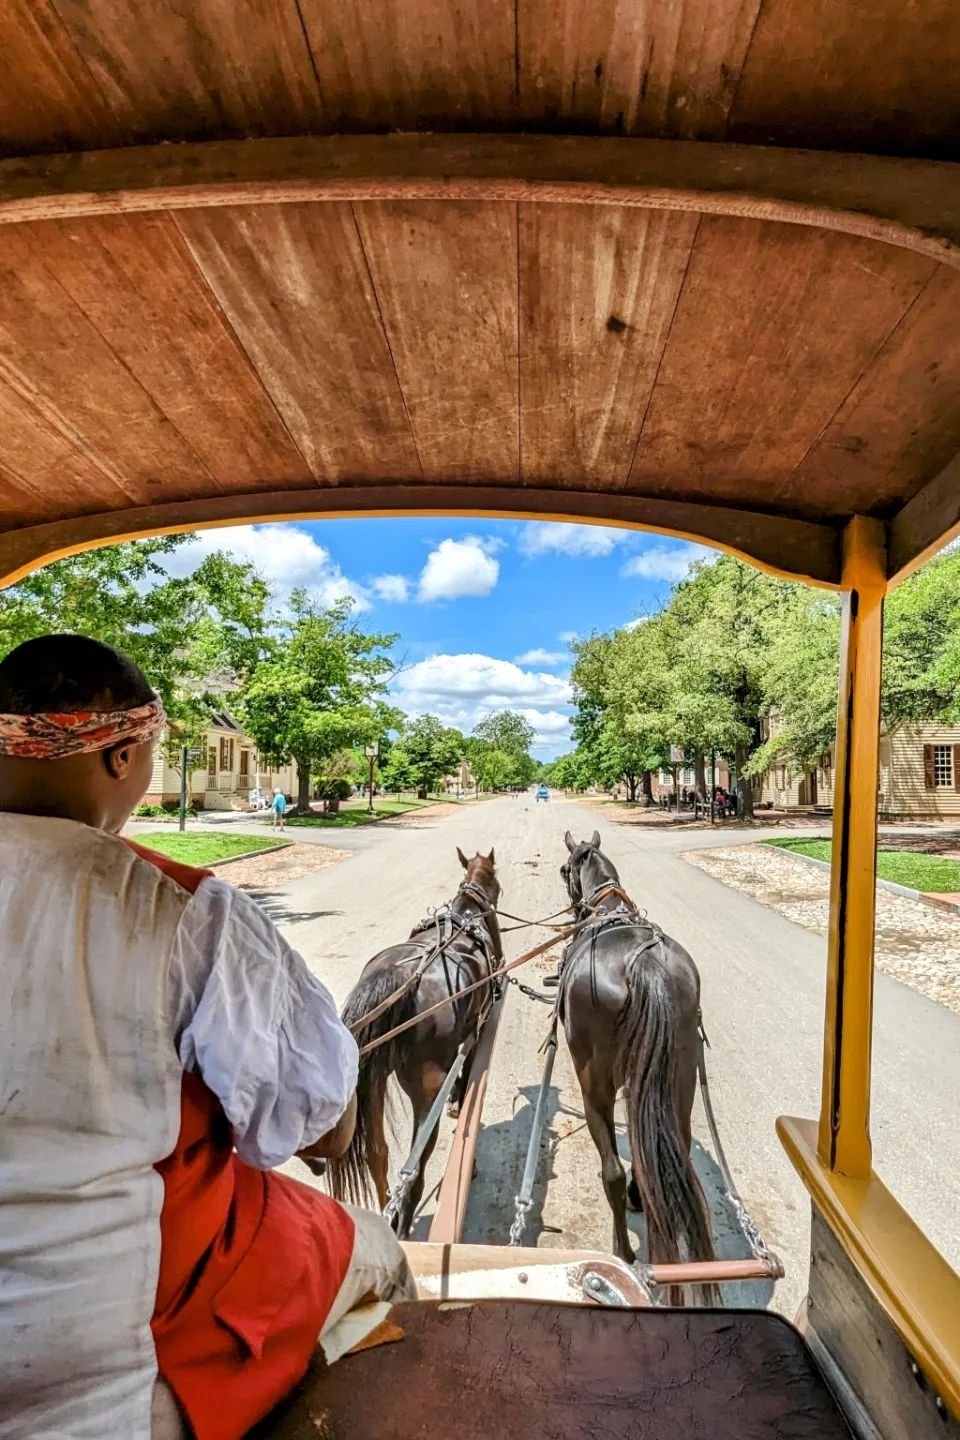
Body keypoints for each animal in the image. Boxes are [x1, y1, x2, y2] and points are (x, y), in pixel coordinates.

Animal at [326, 840, 503, 1238]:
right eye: (497, 882)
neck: (467, 915)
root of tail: (400, 978)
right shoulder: (478, 1029)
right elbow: (466, 1077)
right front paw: (457, 1102)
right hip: (426, 1085)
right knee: (415, 1164)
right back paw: (404, 1220)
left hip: (372, 1078)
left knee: (377, 1153)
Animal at [558, 829, 716, 1290]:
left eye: (564, 869)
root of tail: (643, 966)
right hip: (680, 1076)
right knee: (670, 1156)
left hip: (594, 1082)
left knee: (611, 1169)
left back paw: (623, 1252)